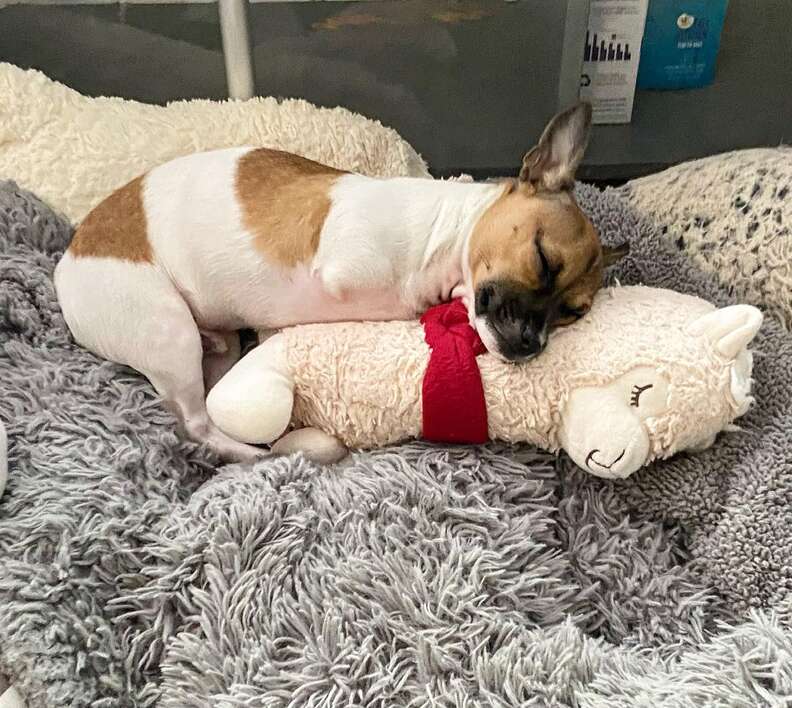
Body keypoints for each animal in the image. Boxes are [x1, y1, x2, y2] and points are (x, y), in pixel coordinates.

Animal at [54, 101, 624, 464]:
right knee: (195, 424)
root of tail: (66, 262)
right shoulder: (353, 274)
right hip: (167, 331)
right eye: (542, 260)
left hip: (212, 345)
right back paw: (262, 453)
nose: (531, 344)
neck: (444, 235)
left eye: (572, 313)